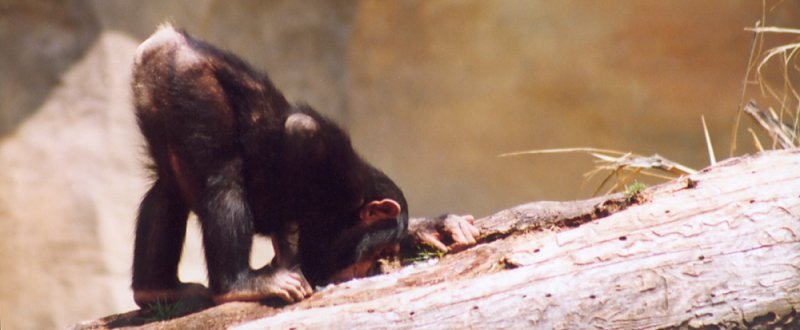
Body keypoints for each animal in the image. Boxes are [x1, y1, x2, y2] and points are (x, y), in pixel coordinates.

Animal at [130, 23, 478, 306]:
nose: (371, 266)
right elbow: (302, 133)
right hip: (194, 85)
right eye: (377, 251)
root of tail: (169, 40)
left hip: (154, 94)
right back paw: (238, 285)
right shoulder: (336, 172)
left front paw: (436, 227)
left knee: (167, 189)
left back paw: (156, 289)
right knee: (223, 177)